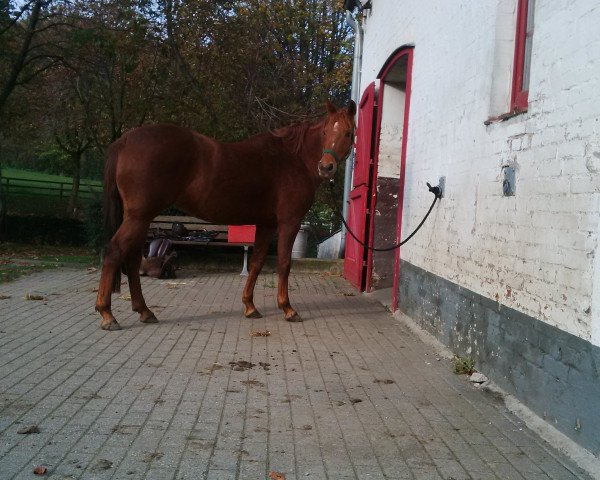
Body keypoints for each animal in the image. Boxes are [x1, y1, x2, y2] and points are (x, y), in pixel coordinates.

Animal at [95, 101, 354, 330]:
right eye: (325, 131)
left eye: (348, 133)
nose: (326, 167)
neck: (292, 159)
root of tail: (125, 140)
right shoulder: (289, 222)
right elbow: (283, 263)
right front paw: (288, 309)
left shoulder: (267, 224)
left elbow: (257, 263)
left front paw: (250, 306)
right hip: (138, 217)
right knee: (114, 252)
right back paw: (107, 315)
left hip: (140, 219)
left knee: (132, 259)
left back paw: (144, 311)